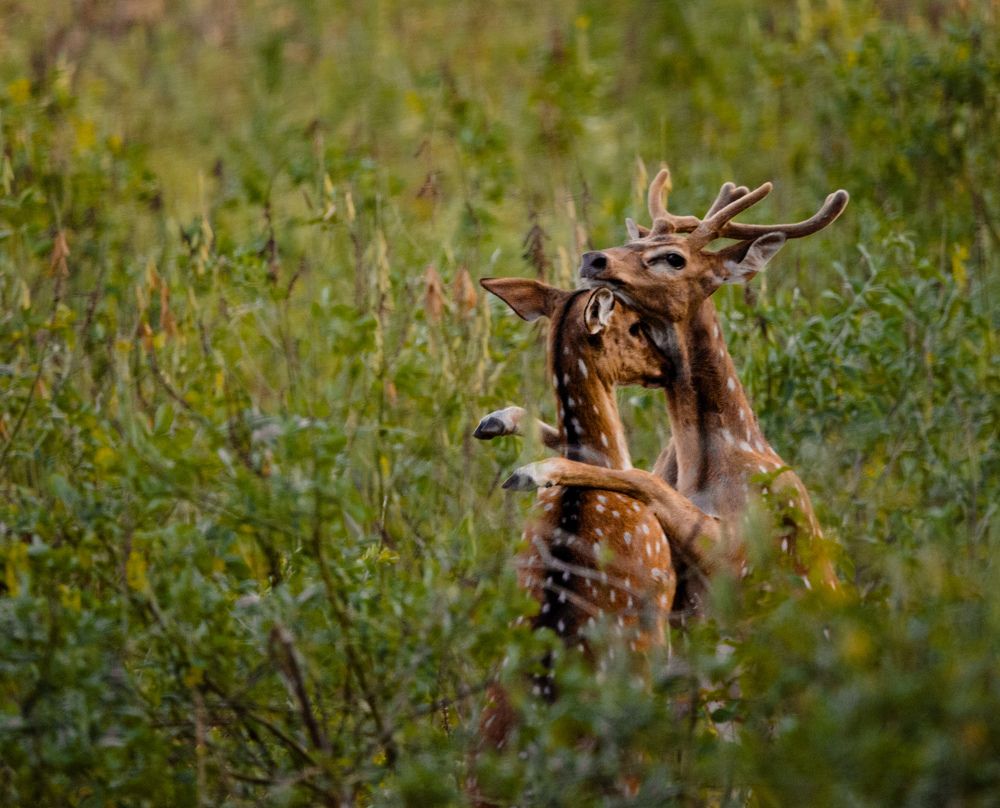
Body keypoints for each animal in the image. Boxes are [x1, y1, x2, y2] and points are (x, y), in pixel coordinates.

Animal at [476, 166, 849, 608]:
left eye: (674, 257)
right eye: (632, 241)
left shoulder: (738, 553)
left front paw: (535, 470)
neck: (703, 465)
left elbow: (640, 477)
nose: (592, 258)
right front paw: (498, 419)